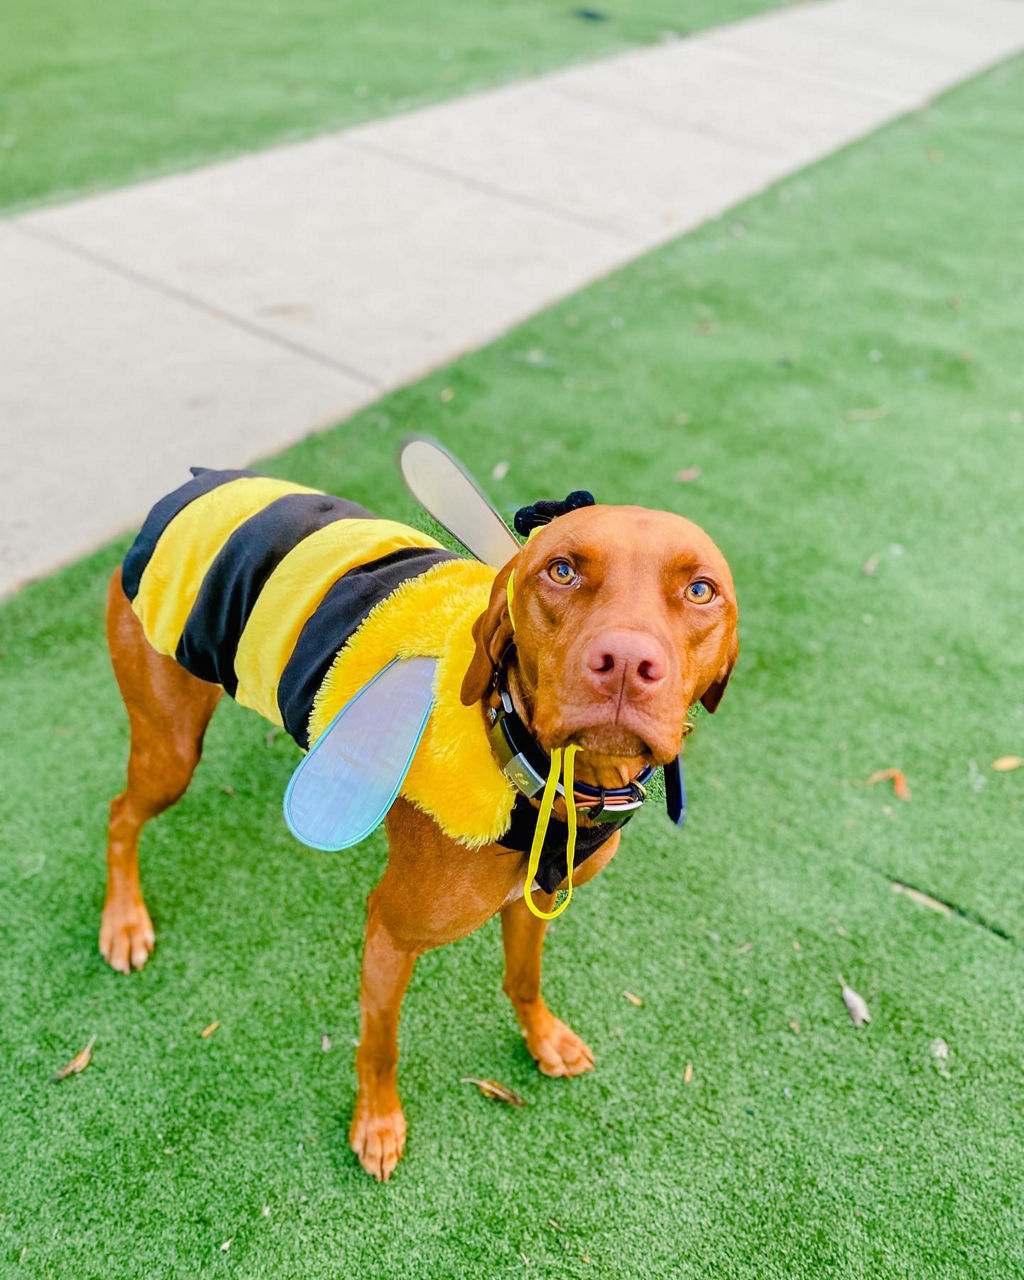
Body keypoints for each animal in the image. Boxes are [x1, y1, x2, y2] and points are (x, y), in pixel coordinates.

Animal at [101, 468, 737, 1177]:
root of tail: (195, 483)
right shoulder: (390, 932)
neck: (546, 779)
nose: (625, 662)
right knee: (120, 816)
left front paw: (542, 1036)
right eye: (561, 570)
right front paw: (377, 1122)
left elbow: (523, 978)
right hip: (170, 748)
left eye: (701, 590)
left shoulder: (532, 899)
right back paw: (123, 922)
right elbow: (379, 1045)